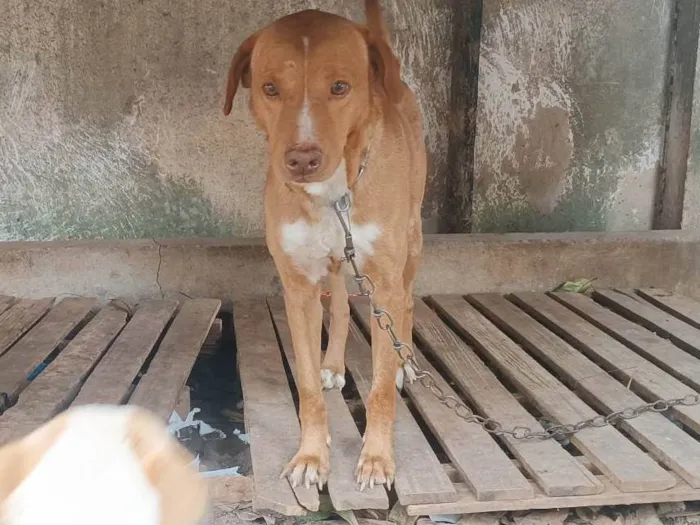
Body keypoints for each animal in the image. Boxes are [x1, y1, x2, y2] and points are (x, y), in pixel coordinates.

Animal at [226, 1, 426, 492]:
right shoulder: (297, 287)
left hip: (411, 242)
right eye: (270, 88)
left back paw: (405, 362)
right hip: (336, 263)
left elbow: (378, 390)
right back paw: (334, 363)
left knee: (409, 302)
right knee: (336, 305)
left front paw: (377, 458)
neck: (332, 194)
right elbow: (308, 387)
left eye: (340, 87)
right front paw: (312, 456)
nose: (301, 159)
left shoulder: (383, 282)